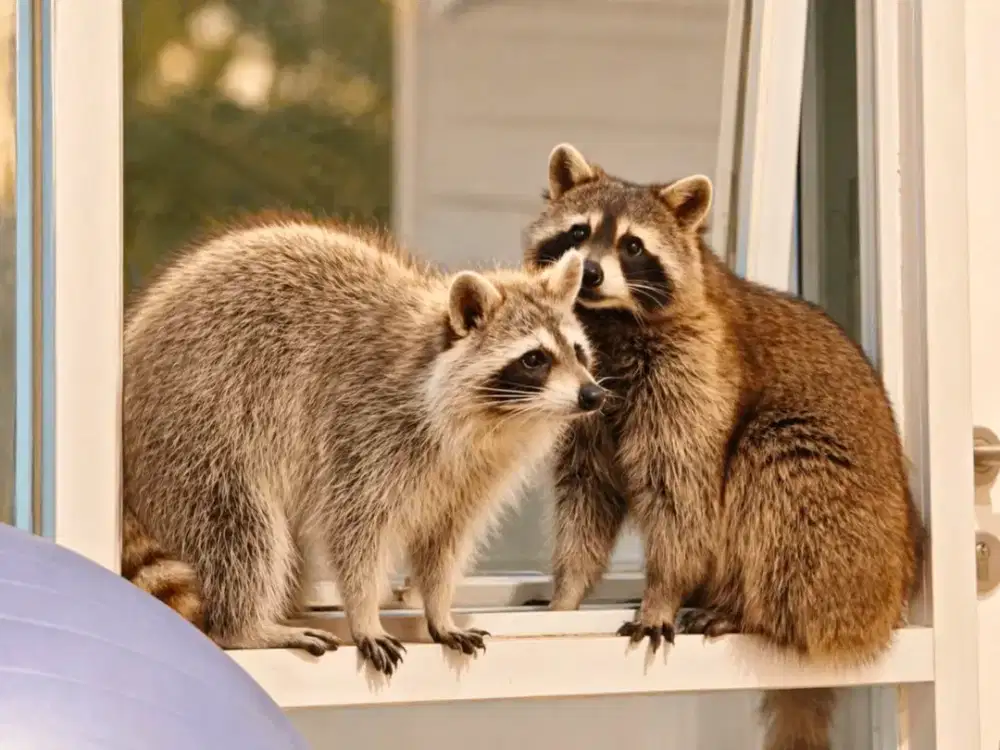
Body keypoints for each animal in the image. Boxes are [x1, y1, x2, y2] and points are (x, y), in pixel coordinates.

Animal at [123, 218, 602, 676]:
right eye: (535, 359)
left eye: (579, 351)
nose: (593, 395)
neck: (494, 421)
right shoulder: (362, 428)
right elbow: (354, 532)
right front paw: (364, 613)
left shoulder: (473, 476)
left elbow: (444, 541)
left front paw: (438, 608)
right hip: (196, 434)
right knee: (239, 526)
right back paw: (246, 627)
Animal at [523, 144, 925, 750]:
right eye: (577, 233)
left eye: (632, 246)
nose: (589, 272)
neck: (609, 322)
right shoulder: (580, 393)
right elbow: (585, 495)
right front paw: (567, 592)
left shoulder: (695, 373)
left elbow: (684, 497)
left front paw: (663, 591)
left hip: (845, 545)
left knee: (774, 469)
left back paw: (750, 611)